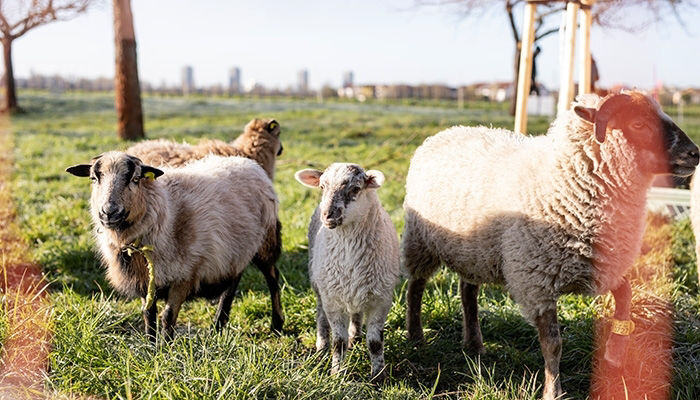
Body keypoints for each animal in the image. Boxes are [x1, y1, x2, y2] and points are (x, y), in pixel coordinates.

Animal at [66, 151, 283, 339]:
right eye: (94, 179)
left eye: (135, 179)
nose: (109, 212)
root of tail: (249, 163)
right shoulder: (145, 279)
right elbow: (148, 314)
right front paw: (150, 345)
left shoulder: (185, 275)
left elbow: (168, 316)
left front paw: (166, 349)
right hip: (237, 248)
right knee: (233, 283)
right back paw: (218, 326)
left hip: (265, 241)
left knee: (273, 278)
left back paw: (277, 325)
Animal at [295, 163, 400, 380]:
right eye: (322, 187)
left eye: (356, 189)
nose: (327, 215)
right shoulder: (333, 301)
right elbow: (339, 343)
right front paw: (337, 374)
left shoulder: (381, 299)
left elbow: (375, 342)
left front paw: (379, 376)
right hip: (319, 285)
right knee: (321, 316)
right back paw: (322, 347)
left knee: (357, 315)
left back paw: (355, 337)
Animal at [402, 91, 699, 400]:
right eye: (639, 124)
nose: (695, 153)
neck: (565, 180)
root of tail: (446, 132)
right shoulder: (537, 282)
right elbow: (553, 343)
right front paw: (553, 390)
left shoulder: (602, 267)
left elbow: (626, 296)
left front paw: (614, 354)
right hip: (420, 241)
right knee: (416, 286)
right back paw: (416, 336)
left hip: (474, 252)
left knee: (468, 290)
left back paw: (474, 344)